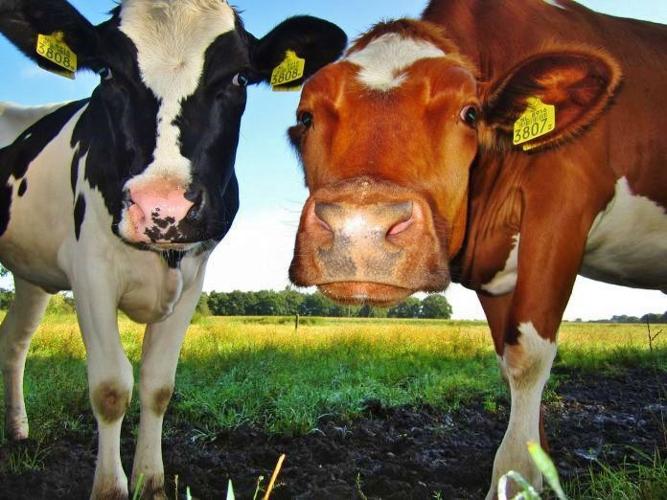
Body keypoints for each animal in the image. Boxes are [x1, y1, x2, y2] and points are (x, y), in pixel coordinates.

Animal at [0, 0, 346, 498]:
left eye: (240, 78)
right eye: (106, 71)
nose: (161, 207)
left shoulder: (193, 278)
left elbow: (158, 384)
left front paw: (152, 481)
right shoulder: (90, 271)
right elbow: (111, 386)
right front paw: (111, 487)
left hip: (30, 275)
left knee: (14, 341)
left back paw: (18, 430)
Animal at [287, 0, 666, 497]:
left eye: (469, 114)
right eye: (306, 116)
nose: (360, 230)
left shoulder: (562, 210)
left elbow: (527, 357)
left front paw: (514, 478)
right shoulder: (491, 274)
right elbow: (506, 362)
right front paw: (537, 471)